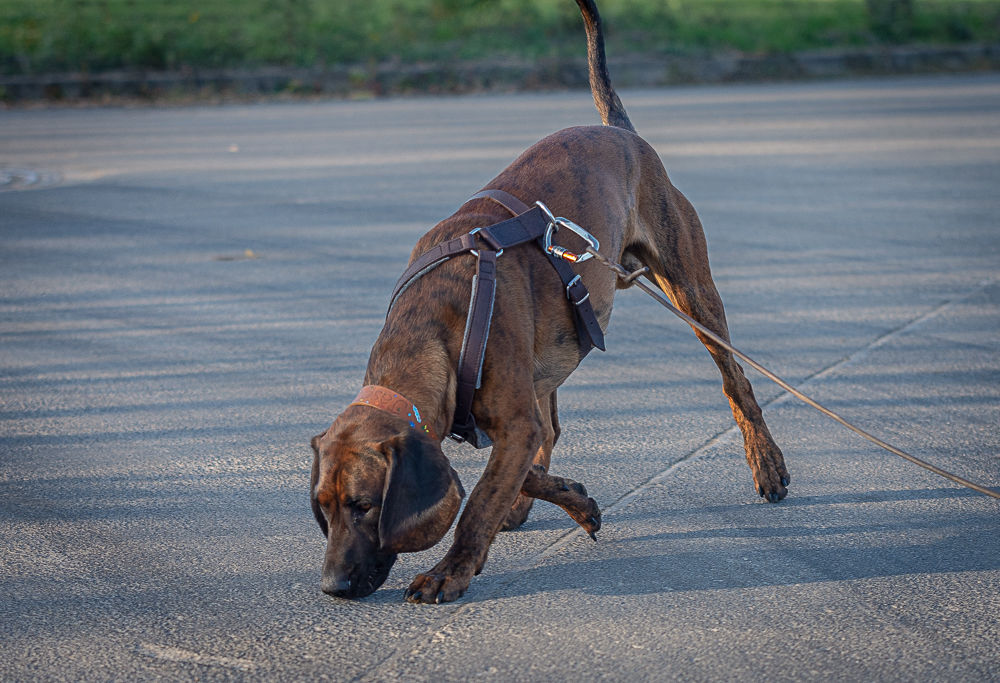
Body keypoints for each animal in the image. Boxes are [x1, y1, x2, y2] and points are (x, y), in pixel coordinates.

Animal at [310, 1, 788, 608]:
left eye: (364, 506)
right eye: (322, 509)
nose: (333, 586)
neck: (430, 330)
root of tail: (619, 132)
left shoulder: (513, 422)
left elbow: (477, 501)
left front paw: (450, 570)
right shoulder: (508, 421)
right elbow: (508, 471)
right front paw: (572, 500)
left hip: (694, 293)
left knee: (736, 382)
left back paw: (767, 464)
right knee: (552, 427)